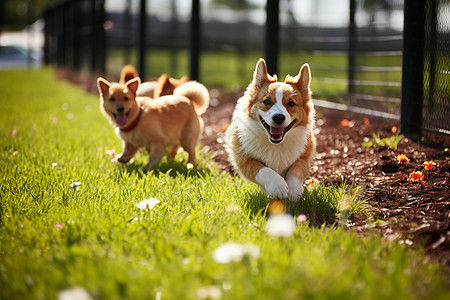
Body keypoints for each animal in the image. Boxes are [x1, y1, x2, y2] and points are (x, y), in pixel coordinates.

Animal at [225, 58, 316, 202]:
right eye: (267, 101)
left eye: (291, 103)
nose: (278, 117)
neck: (276, 145)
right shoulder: (244, 159)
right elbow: (263, 170)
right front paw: (278, 187)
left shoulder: (304, 157)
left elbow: (296, 170)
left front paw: (294, 191)